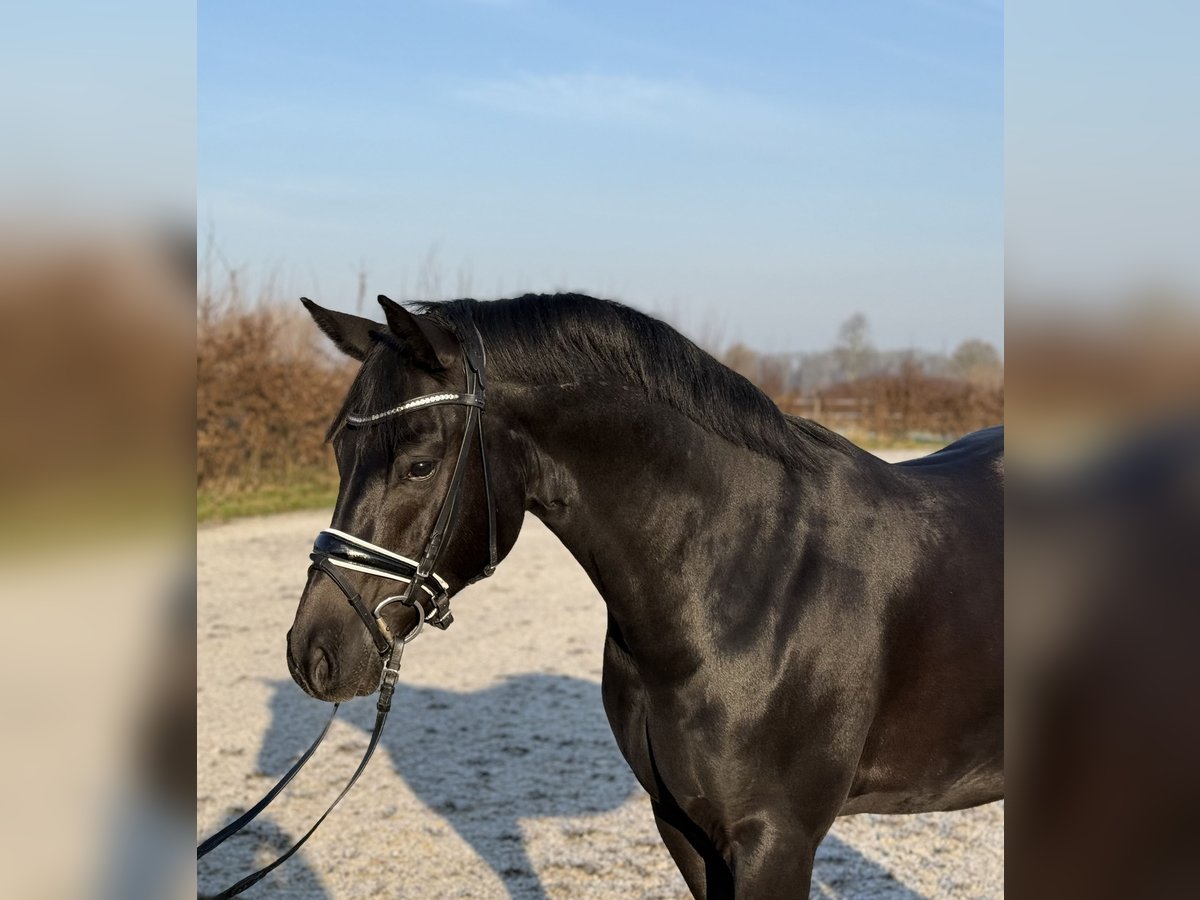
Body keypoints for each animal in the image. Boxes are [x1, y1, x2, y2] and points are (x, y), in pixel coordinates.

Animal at [285, 292, 1004, 898]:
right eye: (342, 454)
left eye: (420, 464)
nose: (312, 653)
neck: (754, 580)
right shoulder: (683, 826)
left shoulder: (776, 842)